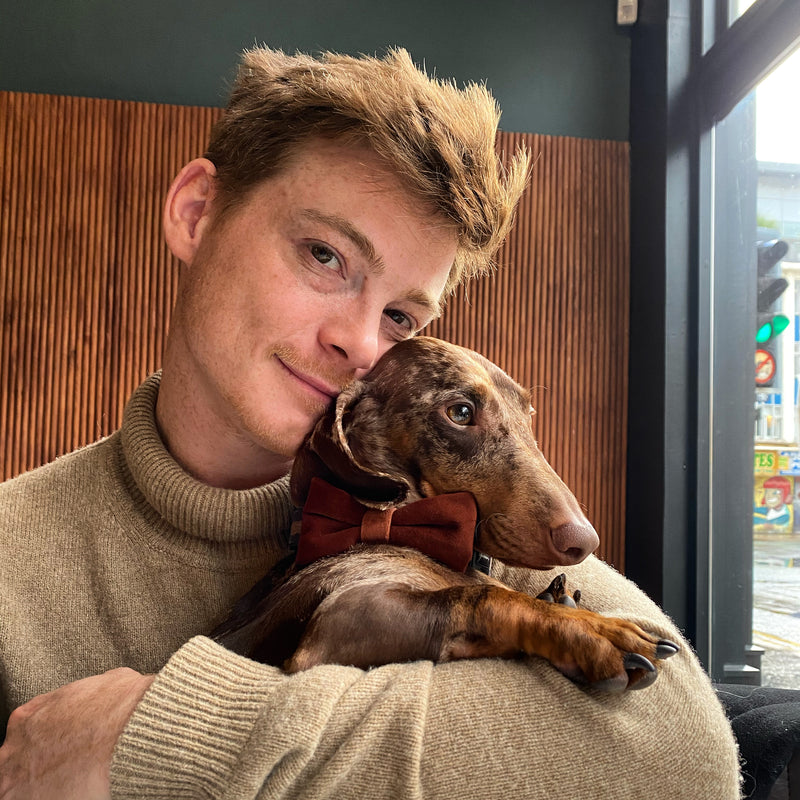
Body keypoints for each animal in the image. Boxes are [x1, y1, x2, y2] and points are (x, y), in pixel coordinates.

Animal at [216, 334, 680, 692]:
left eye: (528, 413)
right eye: (460, 412)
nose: (583, 541)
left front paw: (562, 602)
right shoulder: (340, 623)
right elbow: (484, 595)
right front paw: (590, 630)